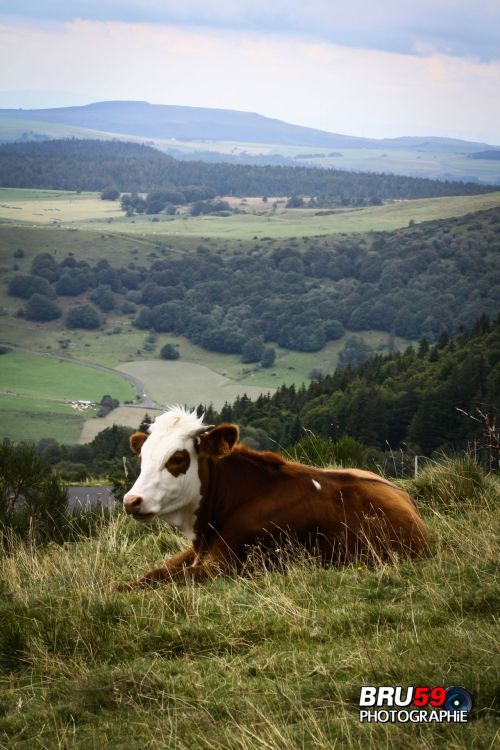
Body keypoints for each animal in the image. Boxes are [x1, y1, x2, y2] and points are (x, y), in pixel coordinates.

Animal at [116, 408, 426, 592]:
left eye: (177, 459)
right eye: (143, 457)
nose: (132, 500)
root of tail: (404, 496)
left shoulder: (232, 565)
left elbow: (174, 577)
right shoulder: (198, 552)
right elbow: (155, 573)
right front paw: (118, 588)